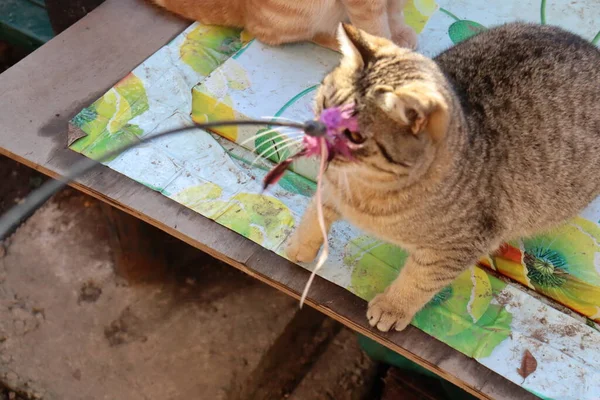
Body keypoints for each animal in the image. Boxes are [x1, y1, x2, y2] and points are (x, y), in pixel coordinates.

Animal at [286, 23, 600, 332]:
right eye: (324, 104)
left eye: (354, 135)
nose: (313, 132)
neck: (366, 190)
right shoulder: (330, 189)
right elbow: (314, 216)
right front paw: (300, 245)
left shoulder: (455, 248)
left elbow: (419, 281)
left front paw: (392, 306)